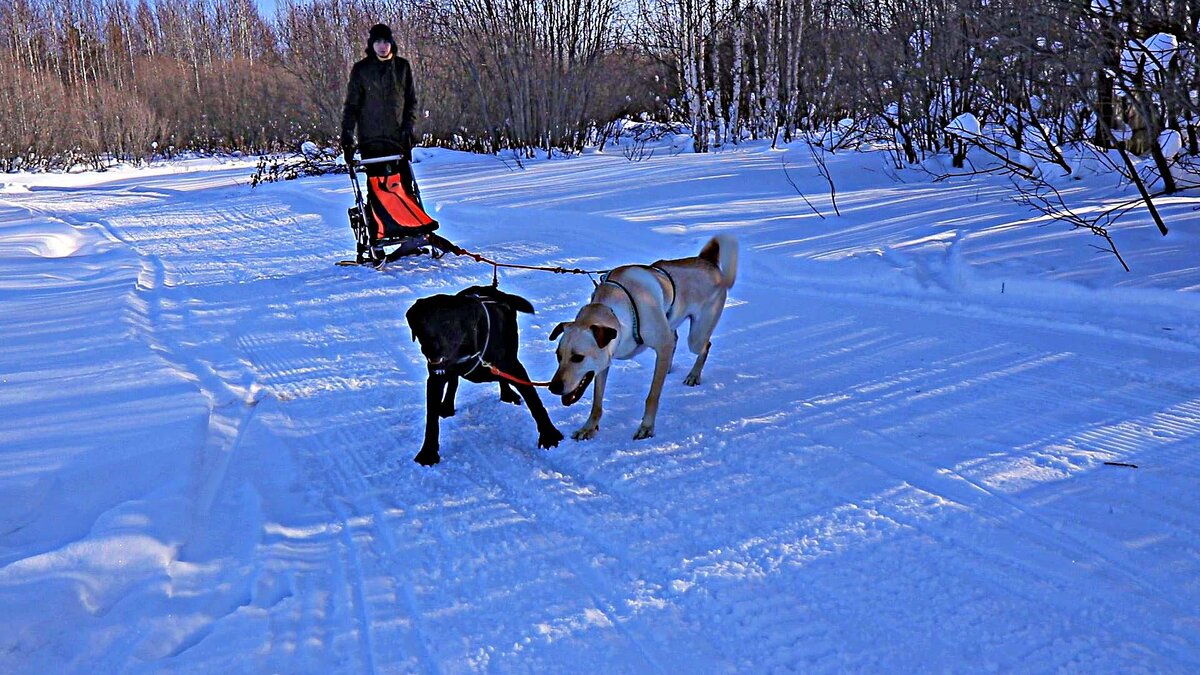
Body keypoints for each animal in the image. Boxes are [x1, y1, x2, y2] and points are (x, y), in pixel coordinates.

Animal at [403, 282, 561, 461]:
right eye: (421, 324)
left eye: (446, 323)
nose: (430, 348)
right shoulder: (435, 378)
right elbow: (431, 417)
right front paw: (428, 452)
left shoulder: (513, 367)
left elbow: (534, 402)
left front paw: (549, 435)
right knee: (454, 381)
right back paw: (448, 406)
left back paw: (507, 394)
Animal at [549, 234, 734, 439]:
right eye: (558, 356)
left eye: (578, 357)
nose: (553, 387)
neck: (616, 310)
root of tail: (707, 260)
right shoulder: (604, 362)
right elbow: (597, 402)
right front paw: (589, 427)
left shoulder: (660, 343)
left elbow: (652, 396)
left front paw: (647, 427)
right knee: (675, 338)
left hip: (696, 337)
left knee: (704, 346)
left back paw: (693, 375)